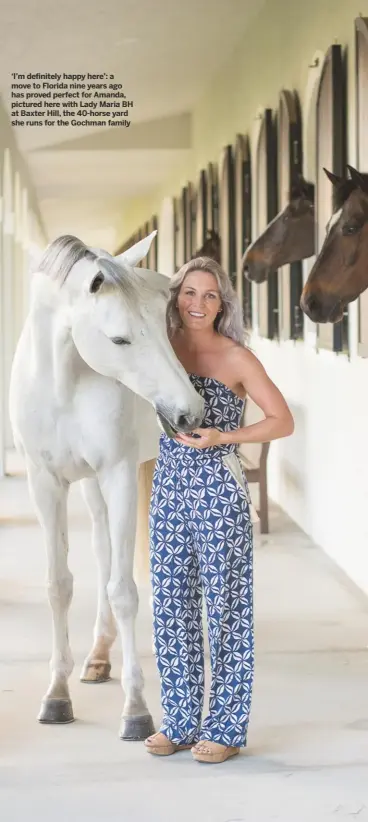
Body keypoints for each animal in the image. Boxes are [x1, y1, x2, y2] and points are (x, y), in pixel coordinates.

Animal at [9, 230, 204, 740]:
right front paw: (57, 695)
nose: (190, 413)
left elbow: (123, 589)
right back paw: (98, 656)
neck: (63, 383)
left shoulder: (117, 472)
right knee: (101, 549)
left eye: (166, 326)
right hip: (91, 486)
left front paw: (136, 707)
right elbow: (59, 584)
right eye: (120, 338)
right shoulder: (45, 483)